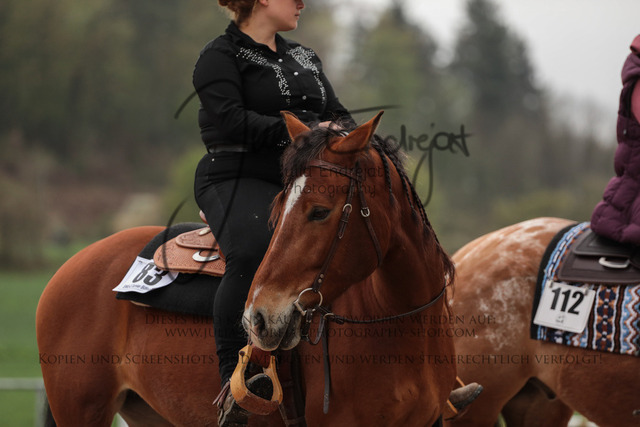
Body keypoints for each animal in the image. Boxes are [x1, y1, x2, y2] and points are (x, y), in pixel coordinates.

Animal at [37, 111, 458, 426]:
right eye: (279, 207)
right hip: (81, 410)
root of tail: (71, 264)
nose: (258, 318)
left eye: (320, 211)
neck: (398, 321)